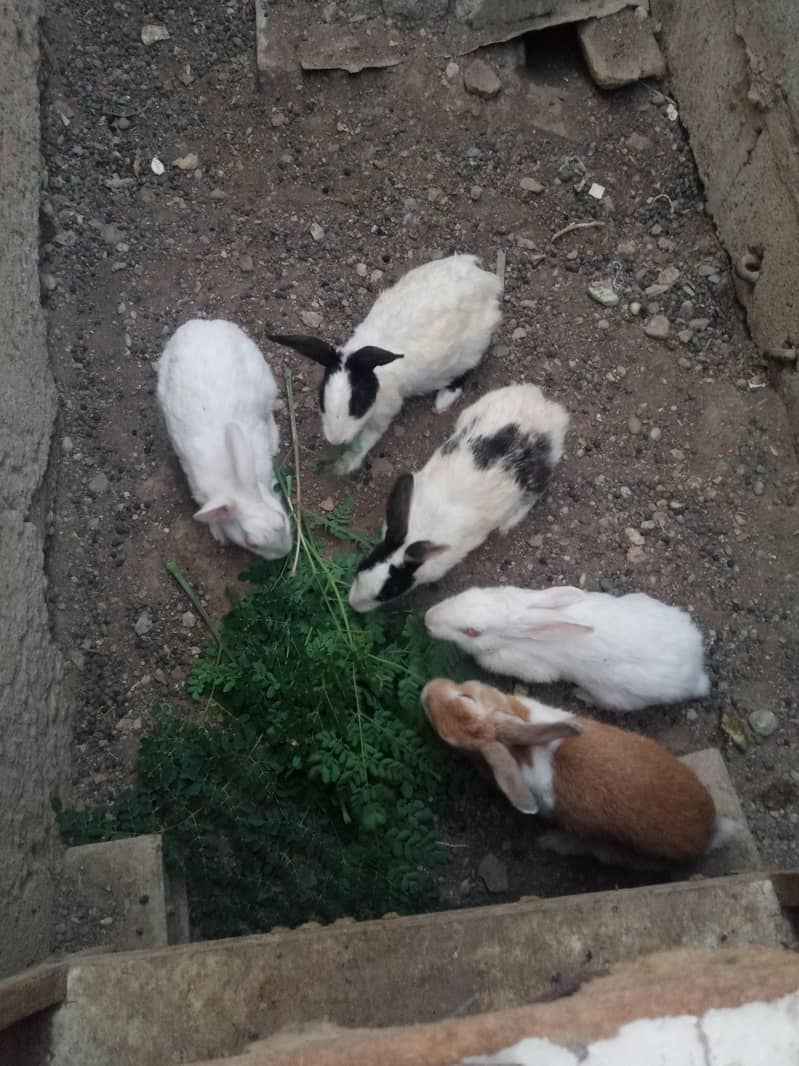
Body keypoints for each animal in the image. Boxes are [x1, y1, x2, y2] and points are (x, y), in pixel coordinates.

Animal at [157, 318, 292, 560]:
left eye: (280, 518)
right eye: (251, 543)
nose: (285, 552)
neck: (237, 486)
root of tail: (201, 325)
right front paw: (219, 534)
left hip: (265, 384)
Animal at [266, 253, 503, 473]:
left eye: (358, 402)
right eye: (321, 396)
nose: (336, 440)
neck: (376, 376)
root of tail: (486, 279)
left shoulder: (385, 412)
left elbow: (368, 438)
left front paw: (344, 465)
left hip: (472, 349)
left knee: (467, 370)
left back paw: (444, 399)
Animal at [348, 383, 569, 612]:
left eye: (388, 593)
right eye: (361, 565)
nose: (352, 604)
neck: (416, 535)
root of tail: (547, 408)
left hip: (539, 475)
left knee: (535, 494)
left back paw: (508, 524)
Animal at [421, 678, 737, 868]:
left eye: (466, 695)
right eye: (451, 741)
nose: (427, 689)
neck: (518, 750)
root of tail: (706, 835)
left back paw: (552, 842)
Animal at [424, 585, 711, 712]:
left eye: (472, 631)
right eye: (471, 592)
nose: (428, 617)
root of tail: (696, 676)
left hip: (616, 696)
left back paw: (581, 694)